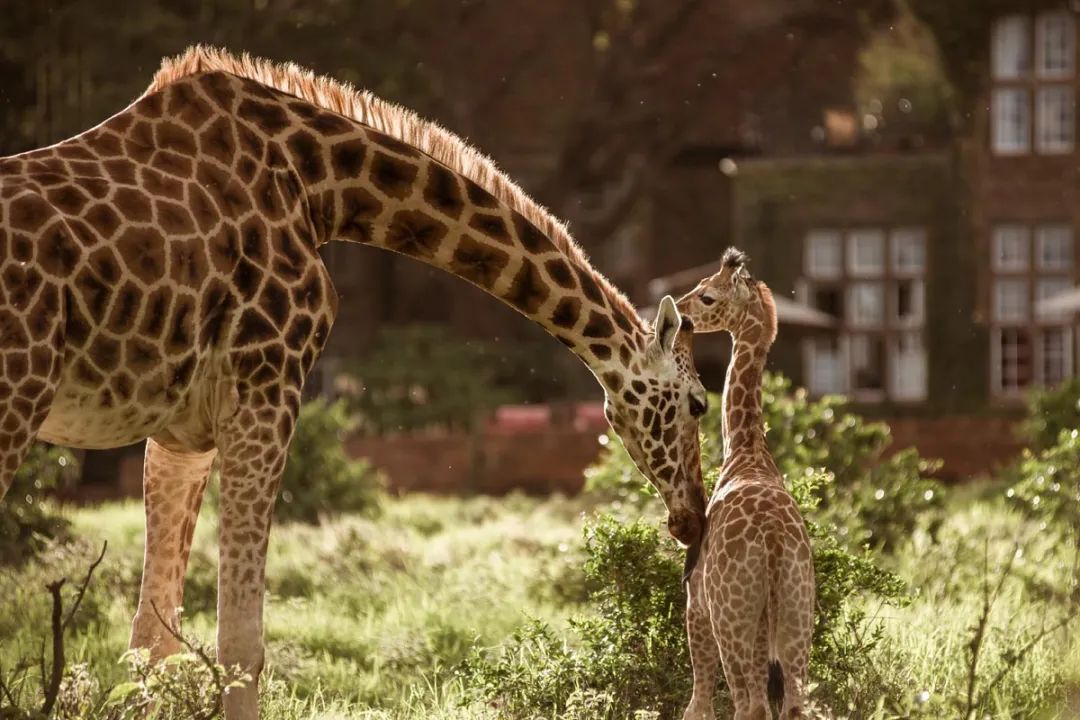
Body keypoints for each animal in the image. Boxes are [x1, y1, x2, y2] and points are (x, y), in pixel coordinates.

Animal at [0, 47, 708, 716]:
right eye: (700, 403)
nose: (693, 519)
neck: (323, 187)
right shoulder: (268, 383)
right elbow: (241, 644)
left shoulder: (180, 433)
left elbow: (153, 639)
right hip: (19, 399)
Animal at [673, 249, 812, 720]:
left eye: (707, 296)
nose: (680, 314)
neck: (747, 449)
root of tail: (772, 546)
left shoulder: (696, 602)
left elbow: (697, 703)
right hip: (796, 616)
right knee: (792, 703)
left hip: (730, 617)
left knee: (745, 703)